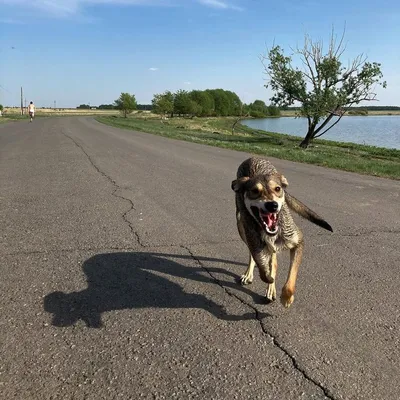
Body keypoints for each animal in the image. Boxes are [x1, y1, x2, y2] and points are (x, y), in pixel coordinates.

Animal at [231, 158, 332, 308]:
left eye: (277, 189)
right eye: (254, 191)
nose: (272, 205)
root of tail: (253, 158)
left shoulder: (298, 242)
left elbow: (291, 275)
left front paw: (286, 297)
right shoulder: (256, 246)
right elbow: (264, 271)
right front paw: (268, 278)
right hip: (240, 224)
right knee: (257, 256)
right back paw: (250, 274)